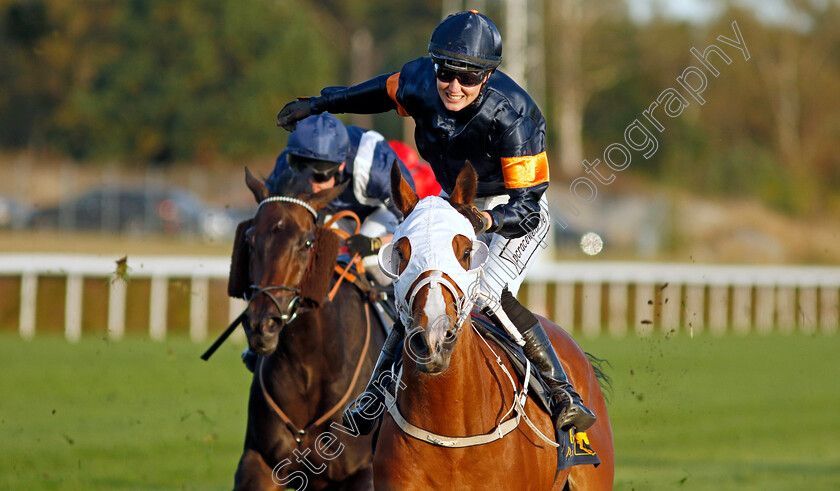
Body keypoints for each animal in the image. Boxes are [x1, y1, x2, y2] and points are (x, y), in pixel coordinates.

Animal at [231, 168, 386, 488]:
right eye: (250, 240)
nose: (262, 324)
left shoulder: (362, 472)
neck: (309, 371)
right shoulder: (259, 462)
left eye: (306, 243)